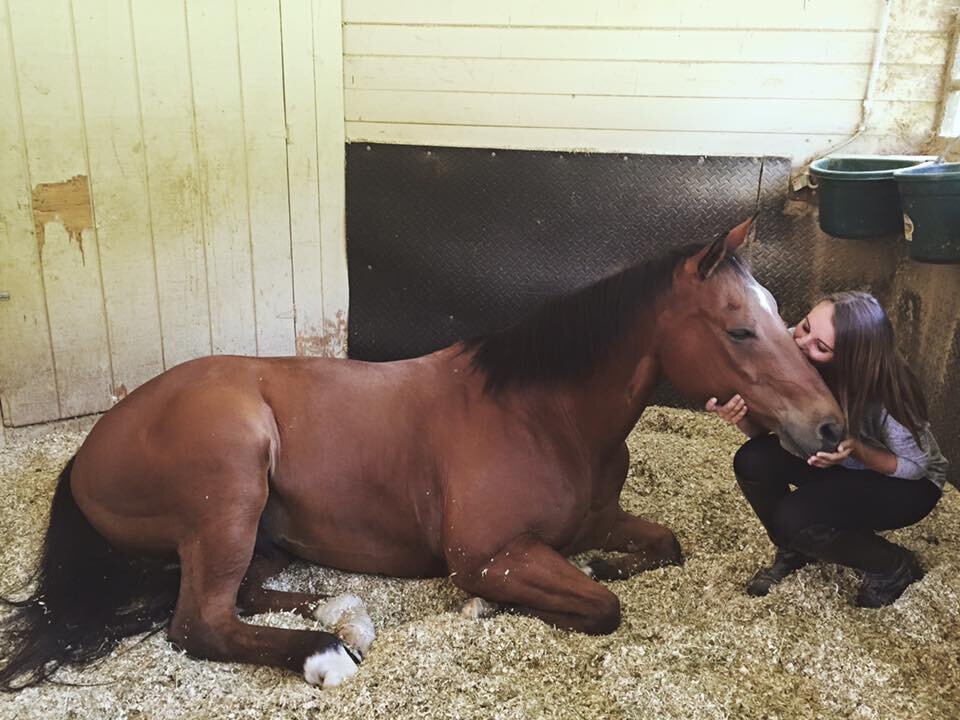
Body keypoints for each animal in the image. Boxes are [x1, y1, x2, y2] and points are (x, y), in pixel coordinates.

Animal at [0, 217, 840, 688]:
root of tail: (90, 449)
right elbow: (601, 608)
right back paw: (327, 654)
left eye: (780, 316)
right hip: (231, 479)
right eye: (740, 328)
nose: (831, 427)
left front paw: (603, 566)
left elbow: (662, 548)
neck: (541, 416)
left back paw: (340, 613)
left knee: (240, 593)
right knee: (199, 623)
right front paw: (503, 605)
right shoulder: (487, 554)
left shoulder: (601, 521)